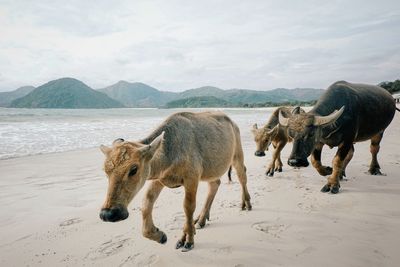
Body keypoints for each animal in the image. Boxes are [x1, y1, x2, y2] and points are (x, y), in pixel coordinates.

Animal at [99, 112, 252, 252]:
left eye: (134, 169)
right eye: (105, 170)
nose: (108, 214)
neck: (170, 153)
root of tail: (232, 123)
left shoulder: (192, 178)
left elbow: (188, 207)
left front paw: (188, 240)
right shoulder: (159, 180)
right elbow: (146, 203)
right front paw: (159, 235)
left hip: (237, 156)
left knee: (242, 176)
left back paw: (246, 204)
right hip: (212, 171)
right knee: (215, 184)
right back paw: (201, 219)